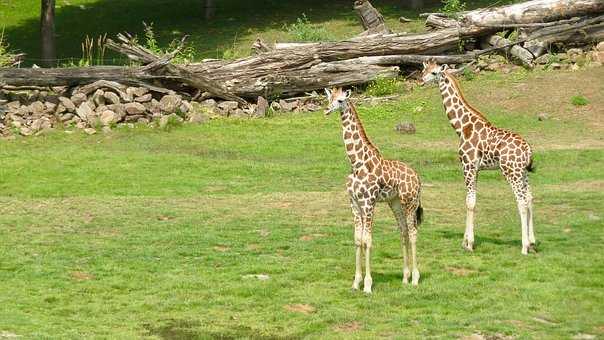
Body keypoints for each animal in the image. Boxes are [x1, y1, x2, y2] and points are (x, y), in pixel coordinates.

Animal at [324, 87, 422, 292]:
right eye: (328, 98)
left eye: (340, 100)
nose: (327, 110)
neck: (356, 163)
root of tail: (418, 177)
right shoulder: (354, 203)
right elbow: (357, 239)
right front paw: (356, 283)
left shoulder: (368, 202)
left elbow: (367, 240)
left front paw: (368, 285)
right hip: (395, 203)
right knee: (403, 232)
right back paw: (405, 277)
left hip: (410, 203)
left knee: (413, 233)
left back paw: (416, 279)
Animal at [420, 60, 536, 255]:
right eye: (424, 70)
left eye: (434, 73)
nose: (421, 81)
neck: (462, 127)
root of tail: (528, 150)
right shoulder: (477, 169)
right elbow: (472, 200)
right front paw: (465, 241)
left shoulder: (467, 166)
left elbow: (470, 202)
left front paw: (469, 244)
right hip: (523, 173)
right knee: (529, 198)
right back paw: (533, 242)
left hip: (511, 172)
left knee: (521, 201)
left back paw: (524, 246)